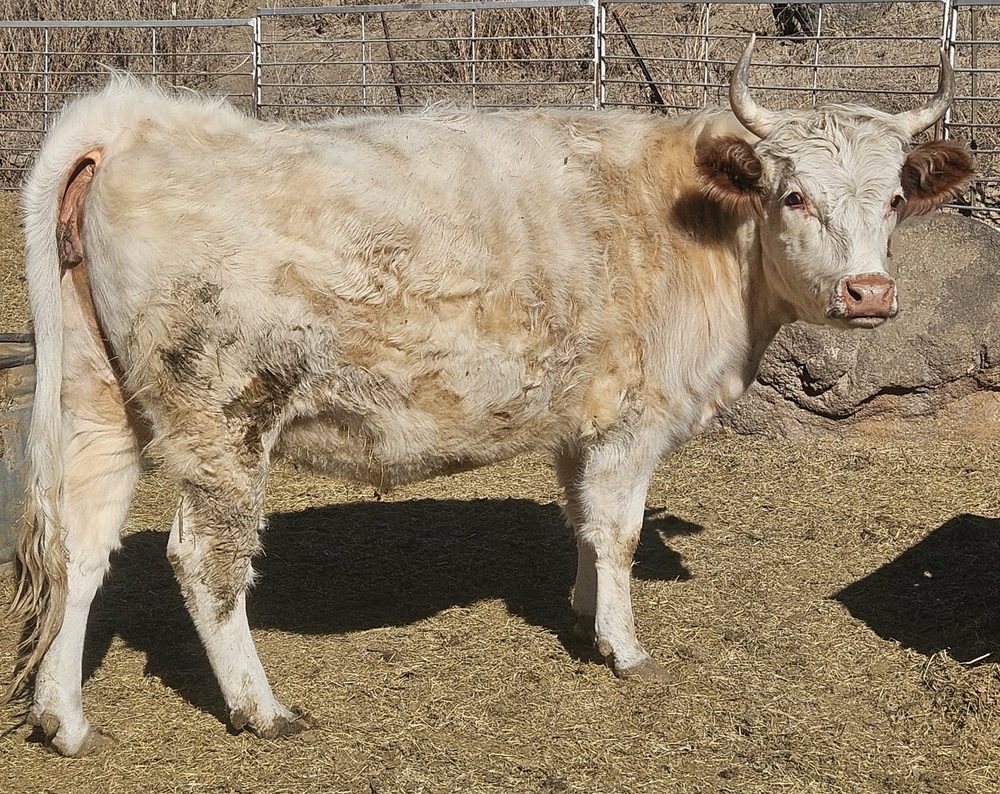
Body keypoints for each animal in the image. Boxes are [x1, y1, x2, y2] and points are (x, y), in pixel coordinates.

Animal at [5, 38, 974, 756]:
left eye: (895, 198)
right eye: (794, 194)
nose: (868, 293)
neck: (692, 221)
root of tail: (141, 117)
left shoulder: (579, 418)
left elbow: (581, 518)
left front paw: (585, 614)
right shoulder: (633, 418)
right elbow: (618, 530)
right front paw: (626, 647)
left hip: (97, 401)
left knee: (81, 547)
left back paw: (64, 720)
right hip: (223, 417)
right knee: (203, 561)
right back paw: (260, 707)